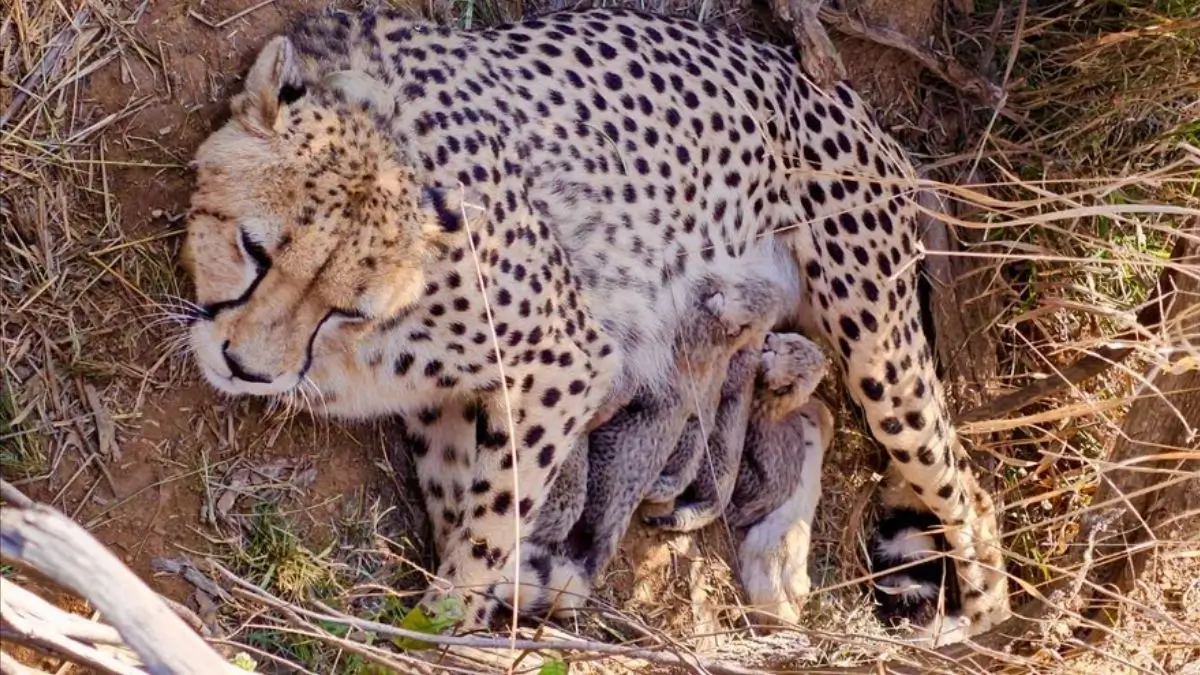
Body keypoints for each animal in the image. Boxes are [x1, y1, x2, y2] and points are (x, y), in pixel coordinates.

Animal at [181, 5, 1010, 641]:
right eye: (253, 248)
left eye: (346, 305)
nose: (247, 367)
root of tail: (836, 91)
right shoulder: (447, 399)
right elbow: (459, 501)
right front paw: (518, 584)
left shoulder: (567, 358)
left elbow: (491, 518)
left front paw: (447, 623)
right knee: (816, 415)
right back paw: (777, 563)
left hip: (879, 345)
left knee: (969, 490)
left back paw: (969, 619)